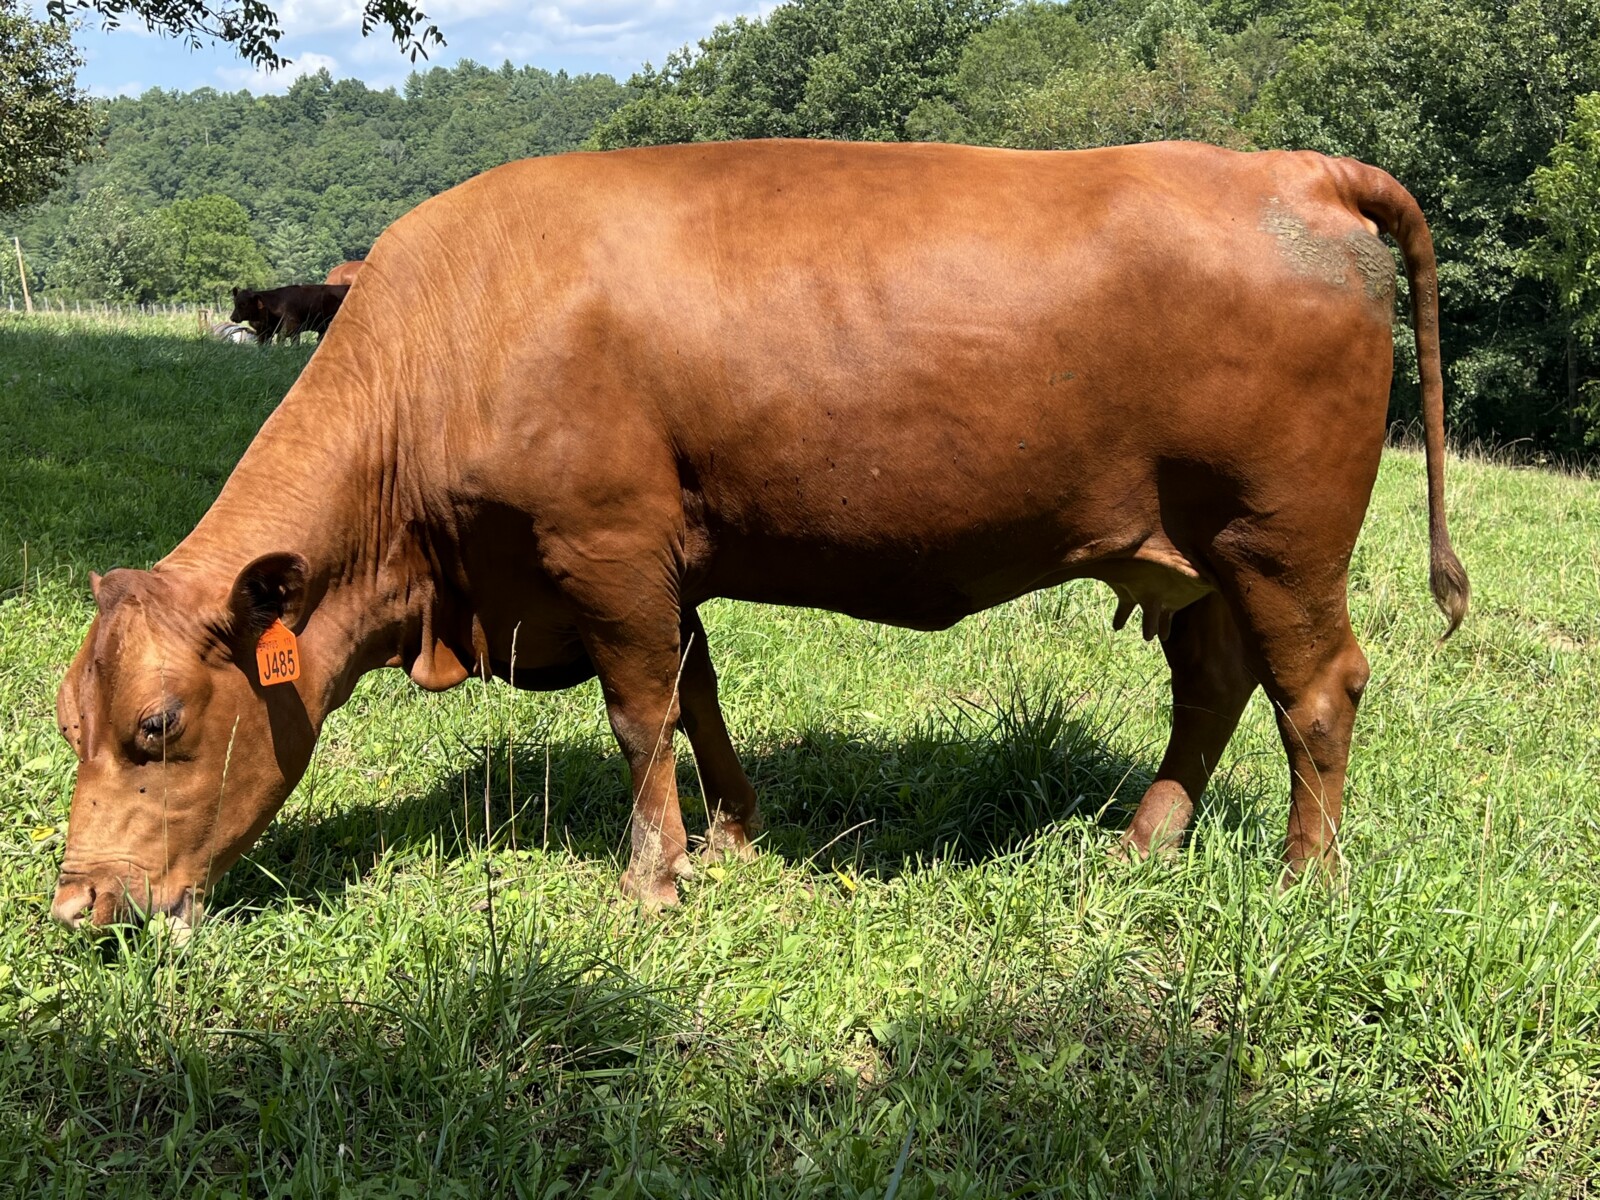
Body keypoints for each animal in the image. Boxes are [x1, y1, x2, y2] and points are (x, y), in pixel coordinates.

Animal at [51, 139, 1467, 931]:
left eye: (158, 727)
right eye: (70, 721)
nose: (77, 904)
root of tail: (1291, 169)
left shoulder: (604, 548)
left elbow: (638, 714)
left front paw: (651, 880)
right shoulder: (661, 562)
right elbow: (699, 694)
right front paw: (730, 832)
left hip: (1279, 542)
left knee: (1316, 691)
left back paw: (1303, 882)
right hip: (1193, 557)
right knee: (1217, 685)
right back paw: (1146, 837)